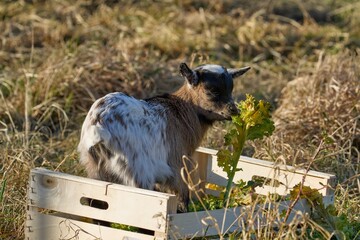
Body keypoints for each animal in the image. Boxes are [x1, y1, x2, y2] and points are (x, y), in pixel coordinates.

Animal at [77, 62, 249, 212]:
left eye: (231, 89)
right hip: (136, 171)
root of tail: (98, 123)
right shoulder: (177, 166)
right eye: (211, 90)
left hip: (96, 170)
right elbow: (182, 199)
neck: (182, 110)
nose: (234, 111)